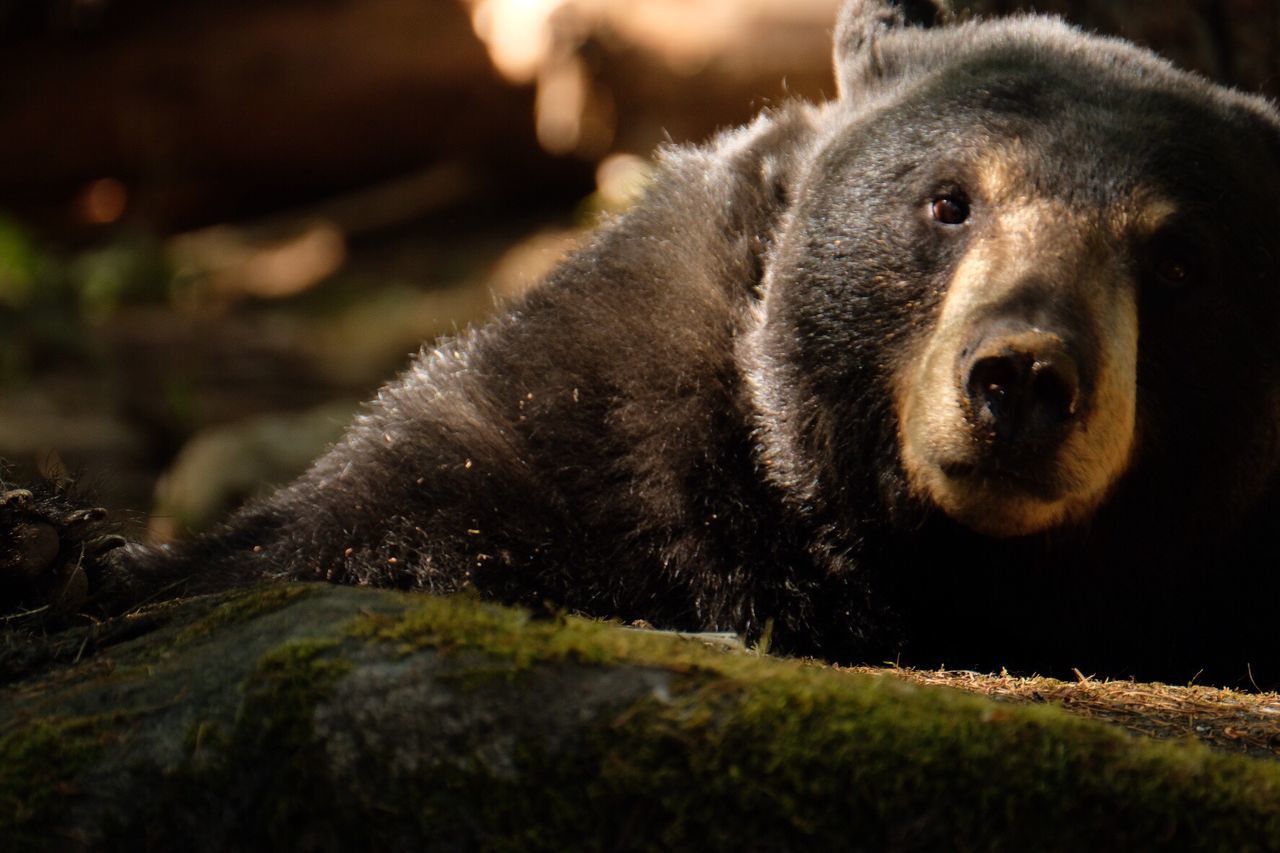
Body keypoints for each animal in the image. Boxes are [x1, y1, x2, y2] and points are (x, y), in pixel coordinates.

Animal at [7, 0, 1280, 686]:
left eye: (1177, 263)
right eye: (947, 201)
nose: (1019, 378)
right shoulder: (597, 405)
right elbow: (360, 521)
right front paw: (57, 555)